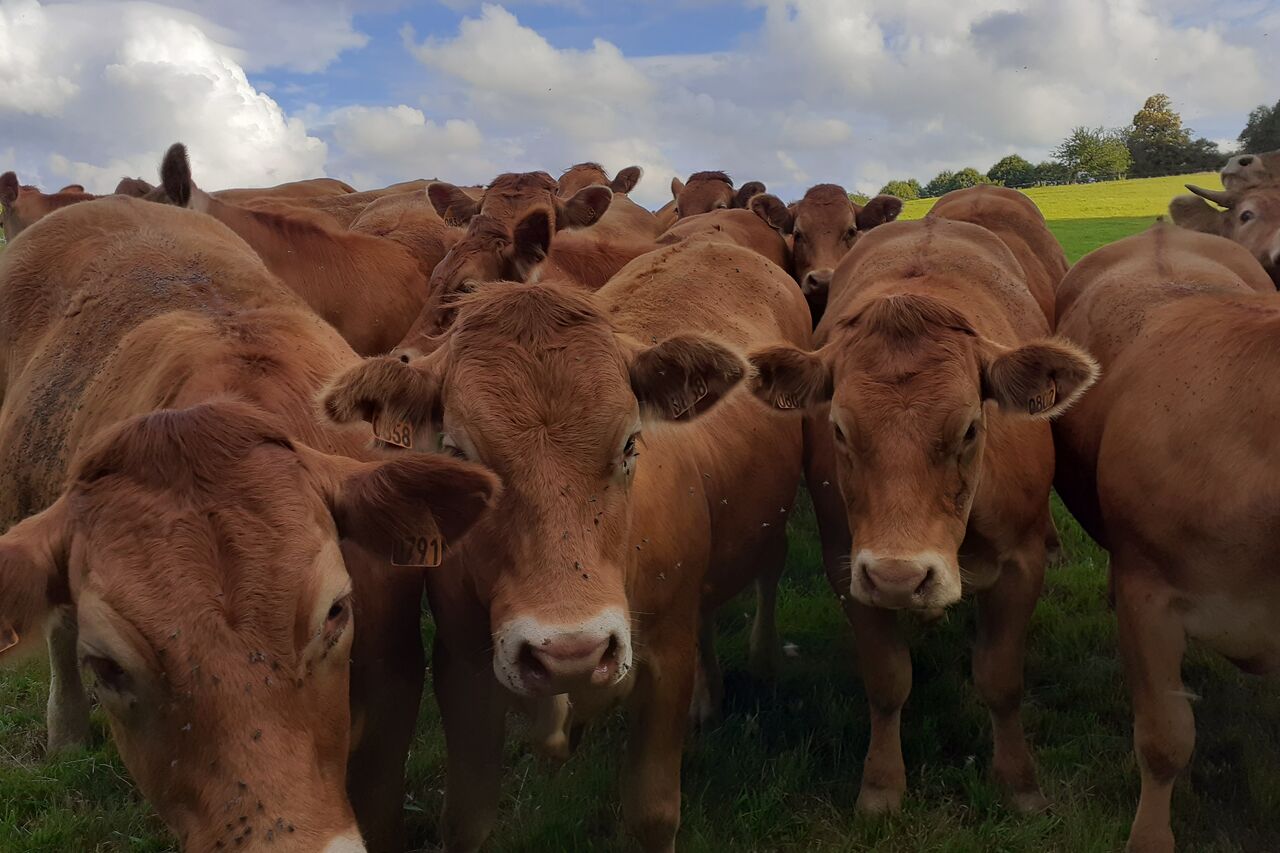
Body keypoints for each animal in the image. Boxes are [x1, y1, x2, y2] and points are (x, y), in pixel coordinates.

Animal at [321, 227, 810, 852]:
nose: (570, 652)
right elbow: (466, 819)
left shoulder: (665, 664)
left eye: (630, 443)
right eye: (458, 452)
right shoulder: (463, 672)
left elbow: (653, 813)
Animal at [746, 216, 1098, 817]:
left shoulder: (1021, 563)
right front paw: (882, 785)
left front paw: (1019, 781)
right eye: (838, 429)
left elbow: (1001, 678)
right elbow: (887, 679)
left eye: (970, 428)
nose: (899, 577)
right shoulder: (848, 566)